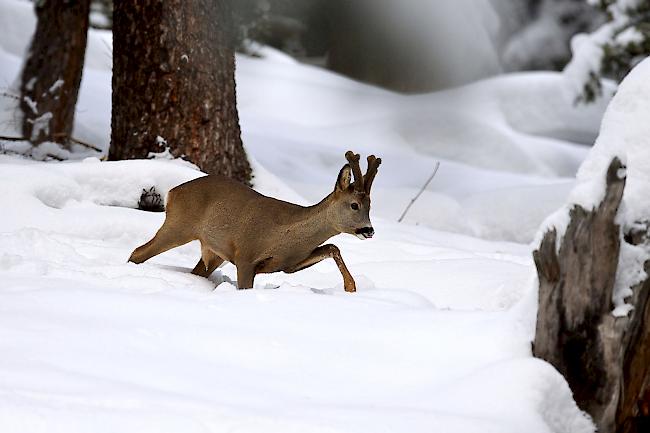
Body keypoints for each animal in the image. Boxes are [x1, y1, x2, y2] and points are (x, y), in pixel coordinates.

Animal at [127, 150, 380, 292]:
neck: (285, 236)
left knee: (195, 272)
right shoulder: (245, 256)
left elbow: (333, 246)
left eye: (370, 205)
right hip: (178, 225)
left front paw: (351, 287)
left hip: (214, 253)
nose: (369, 230)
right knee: (138, 252)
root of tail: (172, 193)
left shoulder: (289, 264)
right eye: (354, 205)